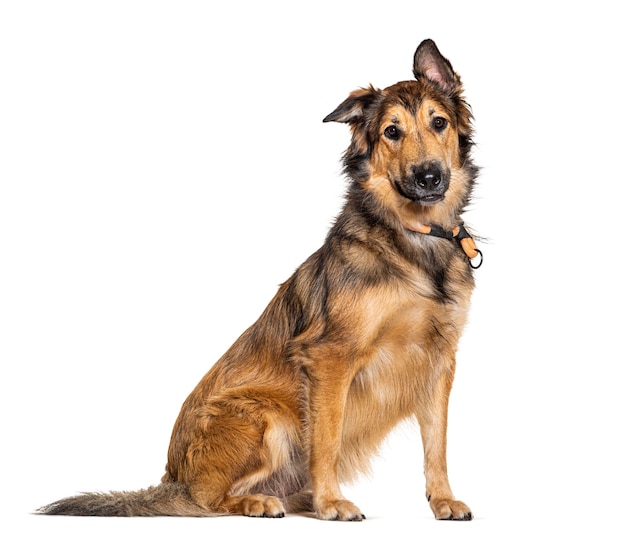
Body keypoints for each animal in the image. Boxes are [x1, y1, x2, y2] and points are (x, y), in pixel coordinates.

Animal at [37, 37, 478, 520]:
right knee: (207, 499)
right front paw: (332, 502)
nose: (429, 177)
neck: (415, 238)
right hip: (264, 415)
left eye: (439, 123)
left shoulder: (439, 360)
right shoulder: (330, 358)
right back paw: (259, 501)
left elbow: (436, 444)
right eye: (391, 132)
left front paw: (443, 499)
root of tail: (172, 477)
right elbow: (327, 439)